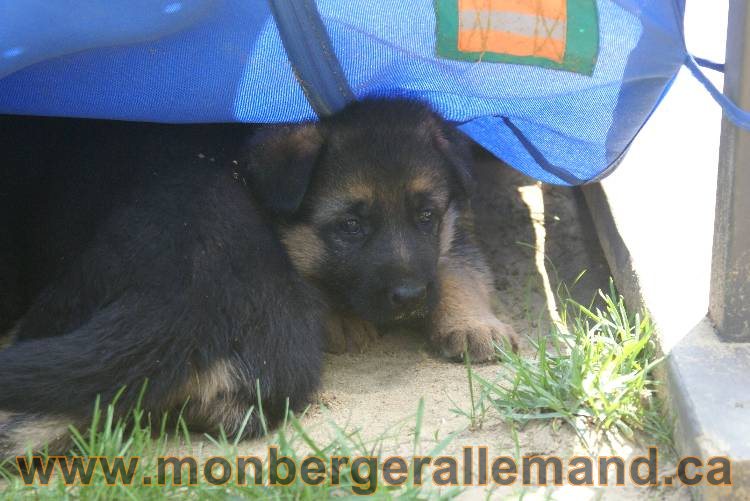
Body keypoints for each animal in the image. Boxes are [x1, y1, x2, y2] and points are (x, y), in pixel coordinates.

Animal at [0, 96, 516, 458]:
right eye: (350, 226)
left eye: (427, 217)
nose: (410, 297)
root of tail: (187, 301)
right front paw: (341, 320)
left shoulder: (452, 232)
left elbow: (457, 267)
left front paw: (474, 325)